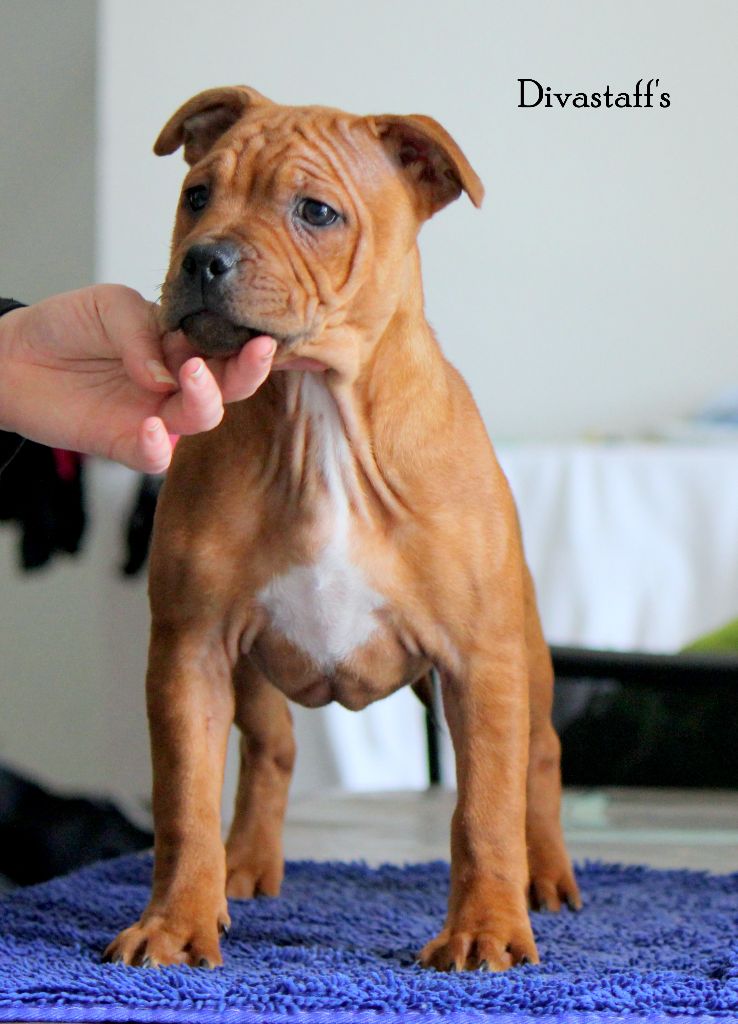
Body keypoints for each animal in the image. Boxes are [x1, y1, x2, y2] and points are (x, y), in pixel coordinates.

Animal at [103, 85, 580, 972]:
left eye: (315, 211)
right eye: (196, 197)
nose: (203, 259)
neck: (318, 413)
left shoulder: (479, 663)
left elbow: (484, 809)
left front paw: (485, 928)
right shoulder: (190, 652)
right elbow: (184, 804)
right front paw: (177, 922)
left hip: (525, 661)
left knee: (538, 756)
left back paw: (546, 877)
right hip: (247, 672)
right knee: (272, 748)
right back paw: (244, 867)